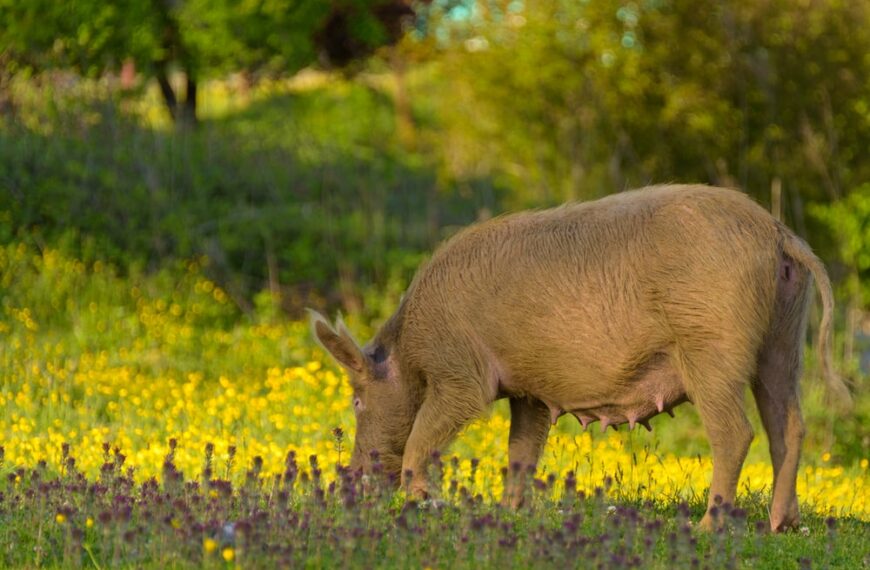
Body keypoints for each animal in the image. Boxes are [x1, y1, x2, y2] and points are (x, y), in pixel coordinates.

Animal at [312, 184, 852, 532]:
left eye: (357, 400)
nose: (352, 475)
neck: (410, 351)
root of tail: (777, 233)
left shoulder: (460, 375)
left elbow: (426, 432)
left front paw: (420, 500)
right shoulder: (529, 393)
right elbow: (521, 452)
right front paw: (509, 513)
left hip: (712, 345)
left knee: (736, 433)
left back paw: (707, 527)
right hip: (784, 339)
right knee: (789, 425)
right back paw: (782, 525)